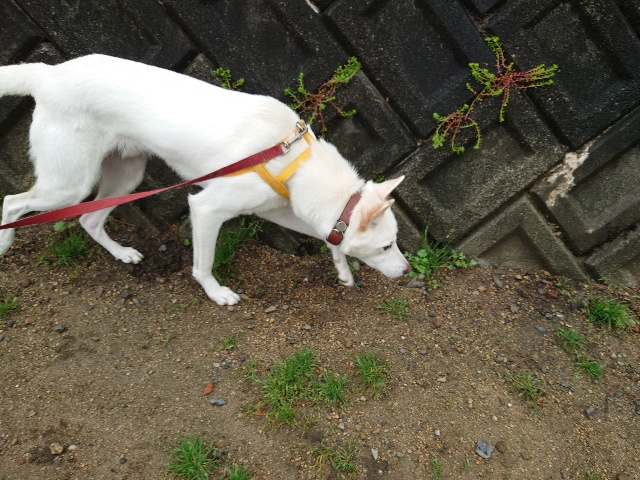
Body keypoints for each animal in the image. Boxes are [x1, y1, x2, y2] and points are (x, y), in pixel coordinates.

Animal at [0, 54, 411, 305]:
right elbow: (203, 264)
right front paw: (216, 294)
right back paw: (5, 243)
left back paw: (122, 253)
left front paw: (342, 269)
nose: (407, 271)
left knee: (88, 219)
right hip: (69, 185)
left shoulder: (281, 210)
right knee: (13, 202)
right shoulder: (206, 208)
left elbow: (328, 238)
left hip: (127, 176)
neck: (296, 160)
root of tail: (48, 74)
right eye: (387, 246)